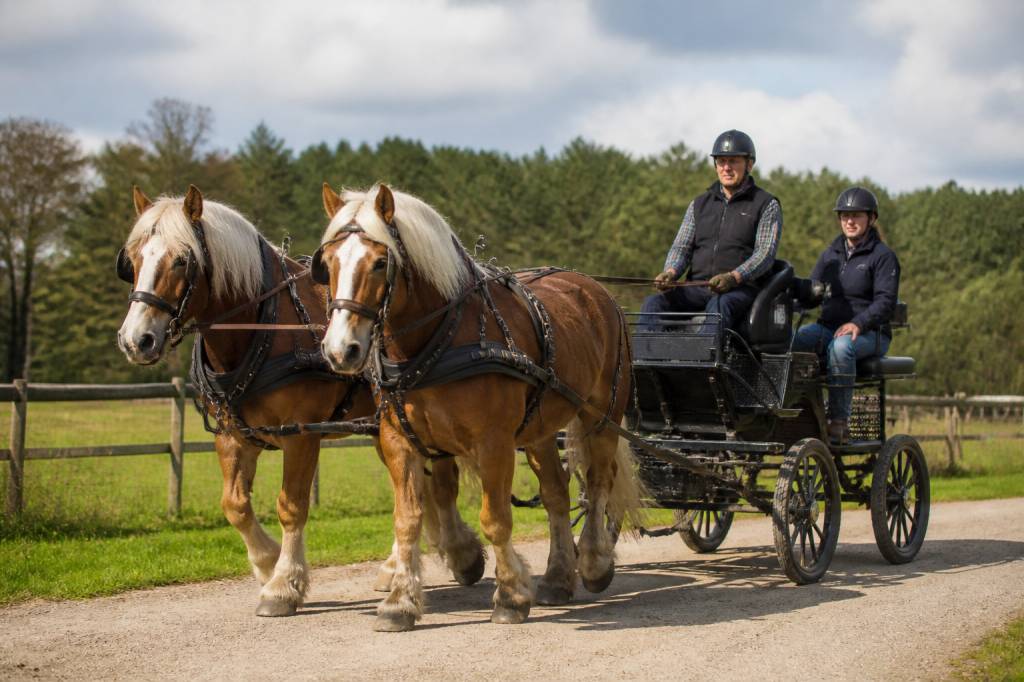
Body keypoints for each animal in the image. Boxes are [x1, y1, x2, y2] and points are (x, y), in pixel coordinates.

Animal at [115, 185, 485, 616]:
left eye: (181, 260)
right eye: (133, 260)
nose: (135, 340)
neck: (262, 326)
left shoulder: (301, 435)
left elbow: (290, 506)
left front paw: (283, 585)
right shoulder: (232, 435)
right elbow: (234, 505)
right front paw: (268, 564)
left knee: (439, 484)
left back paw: (460, 553)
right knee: (415, 487)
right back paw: (401, 566)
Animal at [314, 182, 645, 631]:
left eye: (381, 262)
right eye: (328, 262)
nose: (340, 350)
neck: (438, 340)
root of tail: (596, 290)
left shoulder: (494, 443)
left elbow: (496, 518)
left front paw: (509, 597)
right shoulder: (399, 440)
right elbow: (407, 519)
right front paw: (400, 602)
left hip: (602, 414)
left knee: (597, 481)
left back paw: (593, 562)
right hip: (540, 427)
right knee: (556, 494)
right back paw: (558, 577)